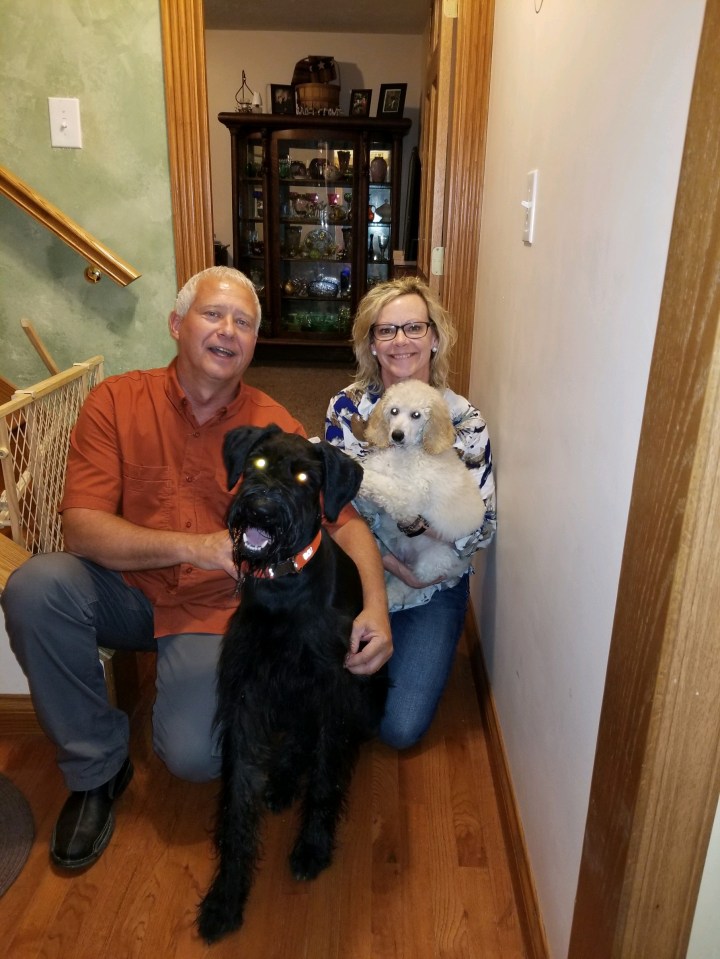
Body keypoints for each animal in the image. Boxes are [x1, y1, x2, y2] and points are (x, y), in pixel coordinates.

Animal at [197, 425, 389, 944]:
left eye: (305, 477)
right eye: (258, 464)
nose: (262, 509)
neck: (283, 588)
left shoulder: (332, 689)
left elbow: (324, 777)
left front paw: (313, 846)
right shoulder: (247, 696)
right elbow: (237, 800)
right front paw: (226, 895)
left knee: (331, 745)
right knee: (296, 742)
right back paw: (282, 781)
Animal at [353, 379, 487, 608]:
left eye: (416, 415)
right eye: (394, 411)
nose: (397, 435)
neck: (408, 451)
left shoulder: (408, 500)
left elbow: (380, 484)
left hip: (431, 564)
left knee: (410, 583)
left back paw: (392, 596)